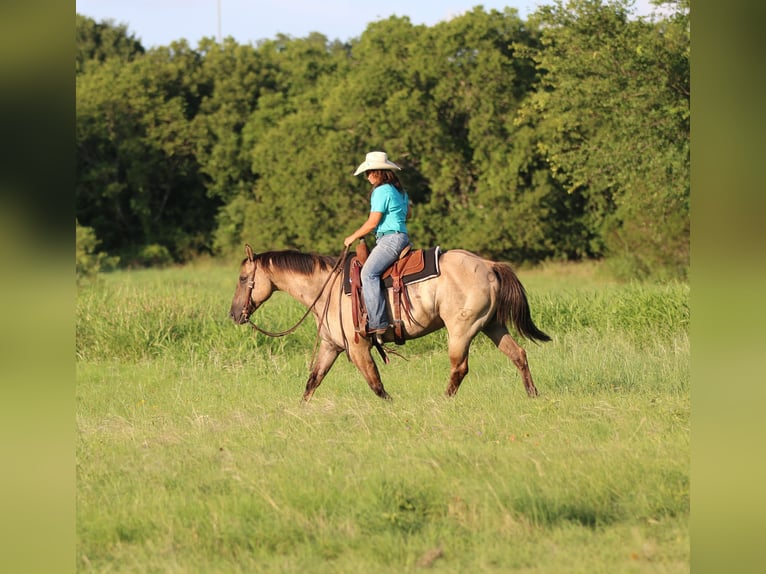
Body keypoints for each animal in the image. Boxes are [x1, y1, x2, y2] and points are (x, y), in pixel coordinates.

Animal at [229, 244, 550, 401]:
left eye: (243, 278)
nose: (233, 315)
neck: (327, 289)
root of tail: (488, 265)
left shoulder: (358, 348)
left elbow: (377, 386)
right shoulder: (330, 347)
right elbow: (312, 383)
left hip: (462, 330)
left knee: (460, 368)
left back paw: (443, 401)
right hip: (491, 325)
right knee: (518, 355)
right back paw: (532, 395)